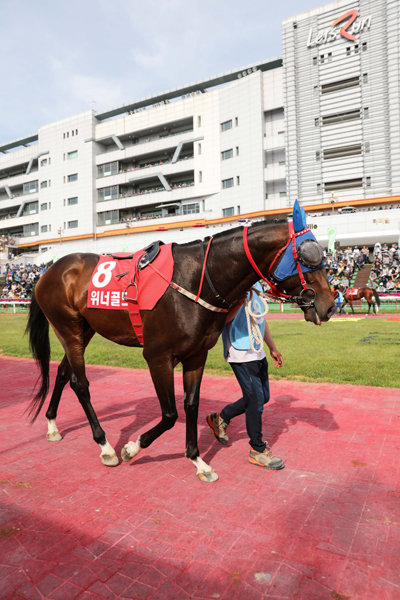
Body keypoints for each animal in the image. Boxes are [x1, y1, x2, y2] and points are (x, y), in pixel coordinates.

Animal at [26, 220, 336, 482]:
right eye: (307, 258)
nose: (330, 306)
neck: (196, 279)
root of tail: (48, 271)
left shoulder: (196, 356)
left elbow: (191, 405)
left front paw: (198, 461)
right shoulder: (158, 357)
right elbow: (169, 414)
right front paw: (132, 447)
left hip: (84, 330)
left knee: (63, 373)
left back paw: (52, 425)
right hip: (68, 329)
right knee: (80, 383)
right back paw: (105, 446)